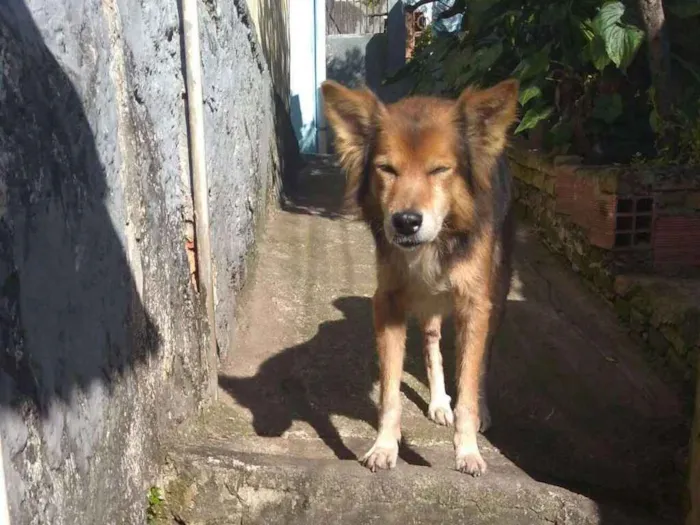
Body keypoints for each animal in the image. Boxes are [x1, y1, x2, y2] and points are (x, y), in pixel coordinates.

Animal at [320, 78, 516, 474]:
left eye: (440, 170)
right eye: (386, 169)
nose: (406, 222)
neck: (435, 242)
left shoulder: (474, 304)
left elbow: (468, 384)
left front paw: (468, 451)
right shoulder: (388, 303)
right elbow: (389, 390)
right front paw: (384, 446)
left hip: (497, 297)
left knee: (483, 359)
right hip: (429, 303)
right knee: (431, 345)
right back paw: (439, 402)